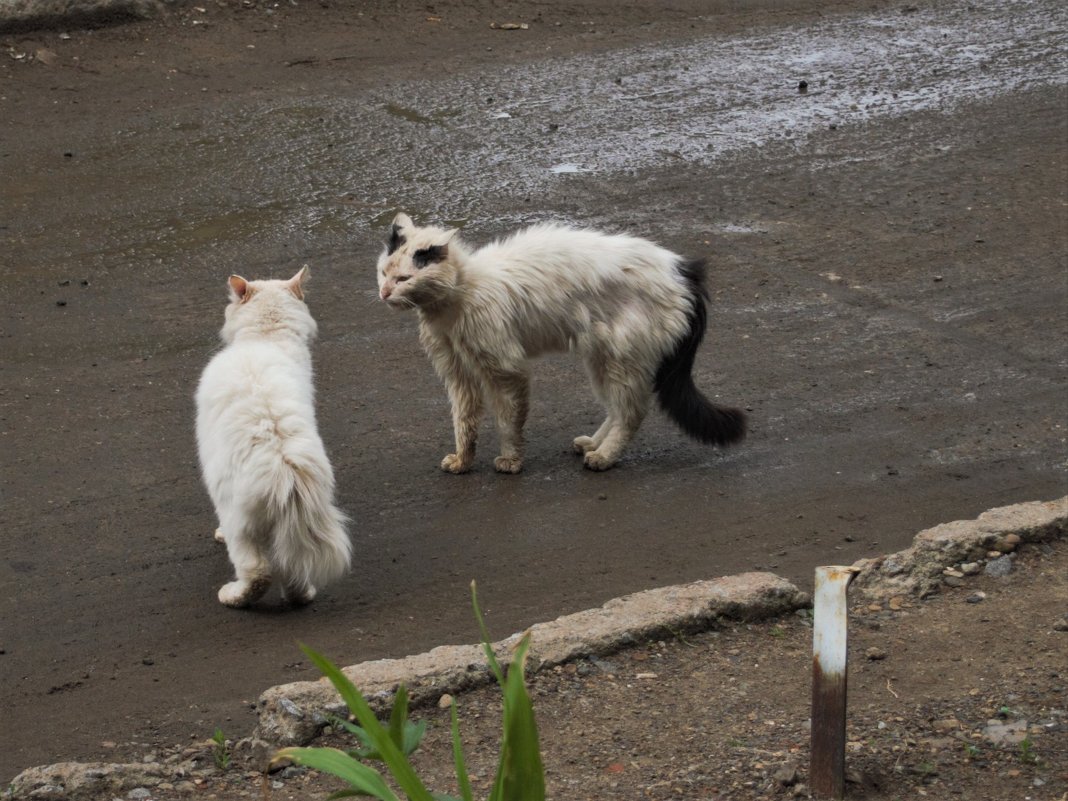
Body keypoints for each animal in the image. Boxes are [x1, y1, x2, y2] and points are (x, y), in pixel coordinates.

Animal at [194, 268, 352, 606]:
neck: (266, 338)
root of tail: (285, 465)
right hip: (292, 531)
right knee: (293, 569)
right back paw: (301, 595)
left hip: (239, 522)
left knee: (257, 572)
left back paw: (232, 596)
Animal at [380, 216, 747, 474]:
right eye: (384, 273)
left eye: (404, 279)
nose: (384, 293)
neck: (458, 296)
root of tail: (684, 269)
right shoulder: (458, 375)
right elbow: (464, 422)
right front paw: (462, 460)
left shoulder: (505, 369)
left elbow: (507, 420)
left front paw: (510, 461)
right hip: (602, 359)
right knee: (617, 408)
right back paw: (592, 444)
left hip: (623, 359)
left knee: (631, 413)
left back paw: (604, 457)